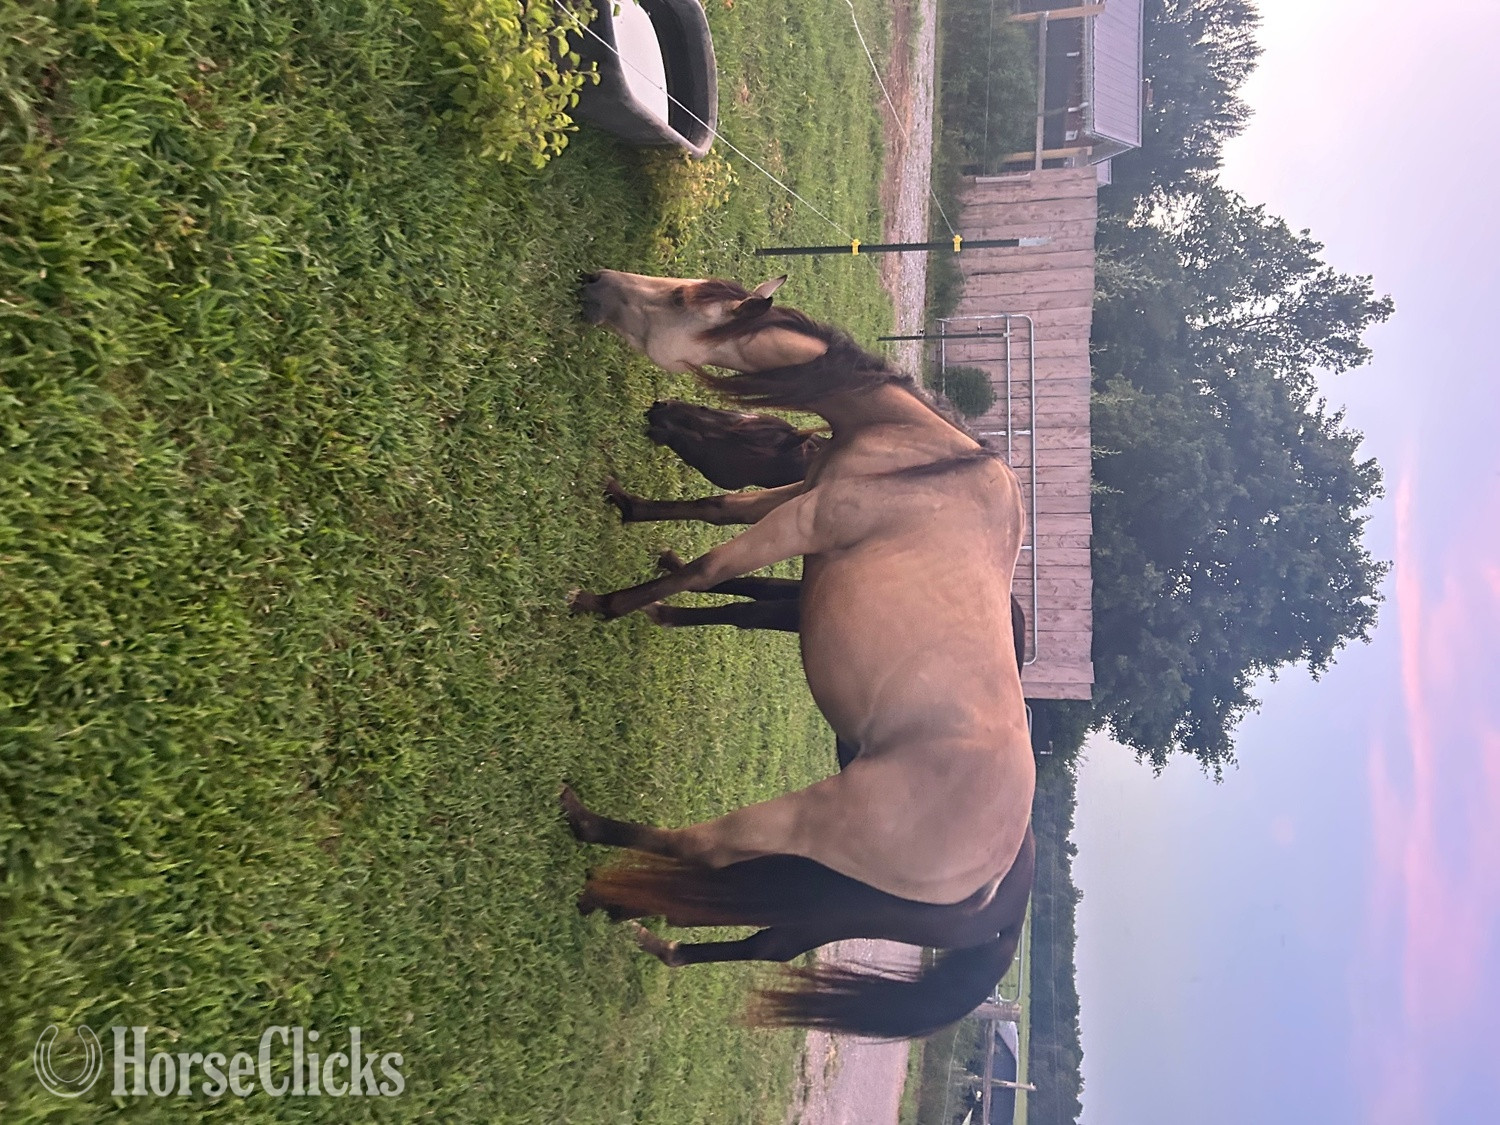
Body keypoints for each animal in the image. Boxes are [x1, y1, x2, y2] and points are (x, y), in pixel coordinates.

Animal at [567, 269, 1034, 1037]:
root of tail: (995, 879)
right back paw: (641, 928)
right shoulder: (791, 495)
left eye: (679, 299)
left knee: (705, 848)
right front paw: (629, 505)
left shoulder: (801, 520)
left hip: (807, 821)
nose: (597, 282)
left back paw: (585, 825)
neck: (918, 455)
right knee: (760, 929)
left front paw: (605, 604)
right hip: (817, 886)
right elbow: (717, 512)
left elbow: (707, 567)